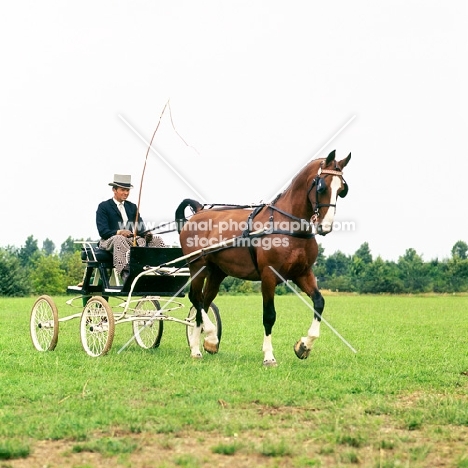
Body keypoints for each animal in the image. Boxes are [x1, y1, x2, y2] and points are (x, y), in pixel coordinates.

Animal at [176, 150, 352, 366]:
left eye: (342, 189)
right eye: (322, 186)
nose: (325, 226)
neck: (287, 225)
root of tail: (199, 211)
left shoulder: (302, 273)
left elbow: (319, 302)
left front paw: (304, 345)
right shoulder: (268, 275)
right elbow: (269, 315)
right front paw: (269, 356)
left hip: (217, 272)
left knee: (203, 302)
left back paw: (199, 346)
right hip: (197, 267)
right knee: (196, 298)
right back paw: (209, 337)